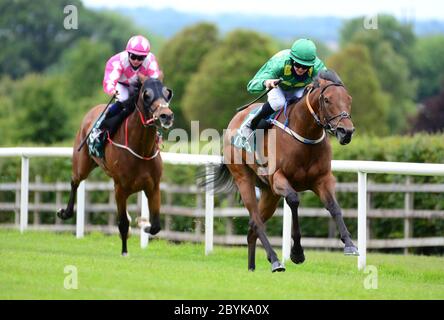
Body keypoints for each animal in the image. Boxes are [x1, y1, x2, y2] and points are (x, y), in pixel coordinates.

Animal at [58, 77, 175, 255]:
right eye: (146, 94)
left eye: (167, 93)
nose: (166, 116)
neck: (141, 150)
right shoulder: (120, 188)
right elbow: (123, 223)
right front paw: (124, 251)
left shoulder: (153, 187)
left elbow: (155, 226)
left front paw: (143, 223)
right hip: (82, 164)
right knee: (74, 181)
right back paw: (65, 212)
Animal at [206, 70, 360, 272]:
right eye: (327, 99)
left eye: (349, 99)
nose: (346, 131)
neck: (304, 136)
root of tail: (235, 119)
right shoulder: (278, 178)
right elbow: (294, 201)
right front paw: (297, 253)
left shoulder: (322, 179)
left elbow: (334, 206)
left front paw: (350, 244)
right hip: (244, 179)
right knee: (256, 221)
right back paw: (275, 260)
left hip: (269, 193)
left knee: (252, 226)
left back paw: (252, 267)